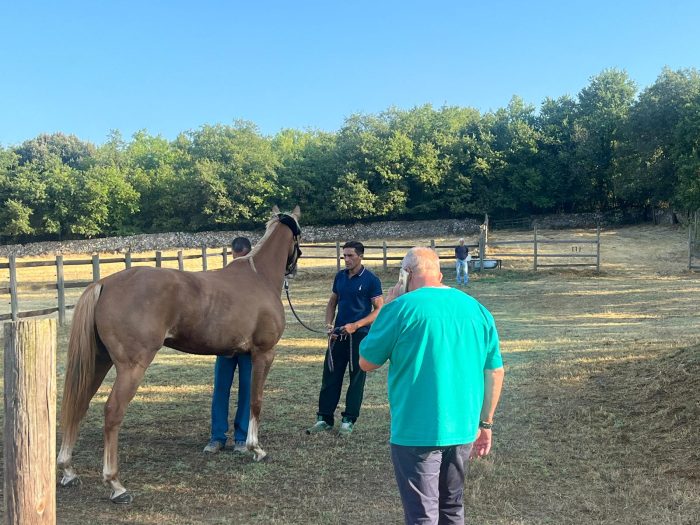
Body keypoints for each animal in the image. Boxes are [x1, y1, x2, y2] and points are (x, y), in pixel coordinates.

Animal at [56, 205, 300, 504]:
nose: (294, 268)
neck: (259, 277)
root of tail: (104, 283)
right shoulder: (264, 353)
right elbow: (256, 400)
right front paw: (257, 449)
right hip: (131, 367)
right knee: (112, 412)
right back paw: (116, 485)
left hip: (98, 362)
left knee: (78, 405)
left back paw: (68, 470)